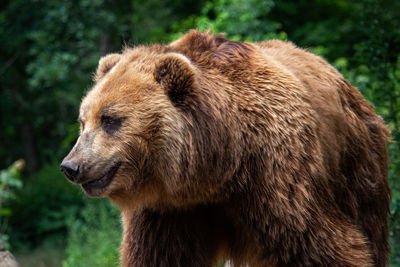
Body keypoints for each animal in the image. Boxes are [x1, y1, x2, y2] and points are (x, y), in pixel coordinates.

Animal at [60, 31, 390, 267]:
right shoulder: (169, 213)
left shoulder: (279, 181)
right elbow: (159, 255)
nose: (71, 166)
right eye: (83, 121)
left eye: (110, 120)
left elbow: (322, 245)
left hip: (356, 166)